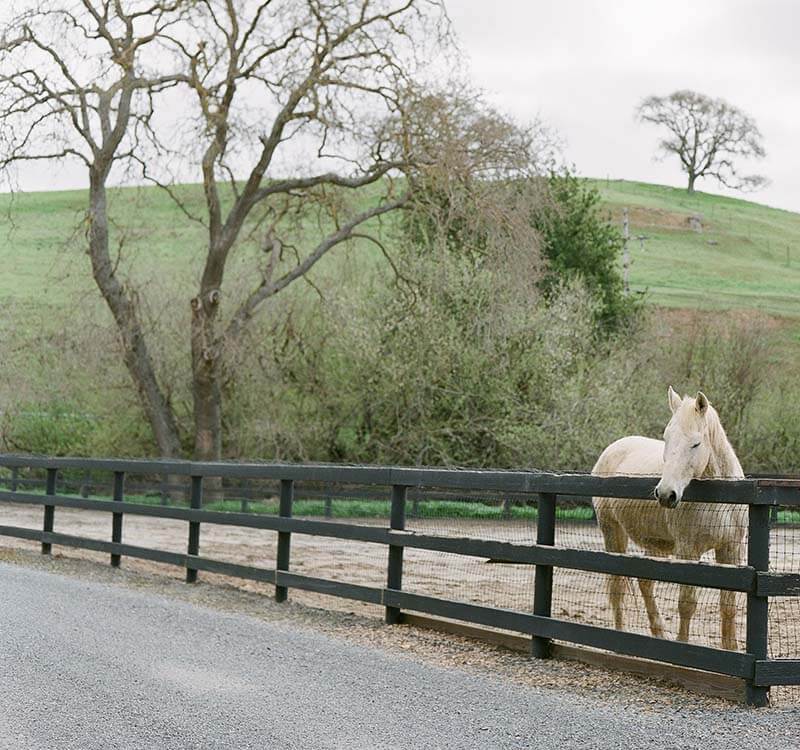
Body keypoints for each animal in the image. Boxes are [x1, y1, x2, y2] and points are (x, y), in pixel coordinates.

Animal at [592, 387, 747, 650]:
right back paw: (620, 635)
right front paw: (683, 645)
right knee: (617, 587)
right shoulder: (687, 551)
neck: (722, 498)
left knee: (645, 583)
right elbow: (686, 603)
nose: (666, 494)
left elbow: (728, 605)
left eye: (696, 443)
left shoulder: (730, 549)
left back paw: (659, 634)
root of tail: (611, 449)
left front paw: (732, 650)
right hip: (613, 533)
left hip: (656, 543)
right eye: (666, 438)